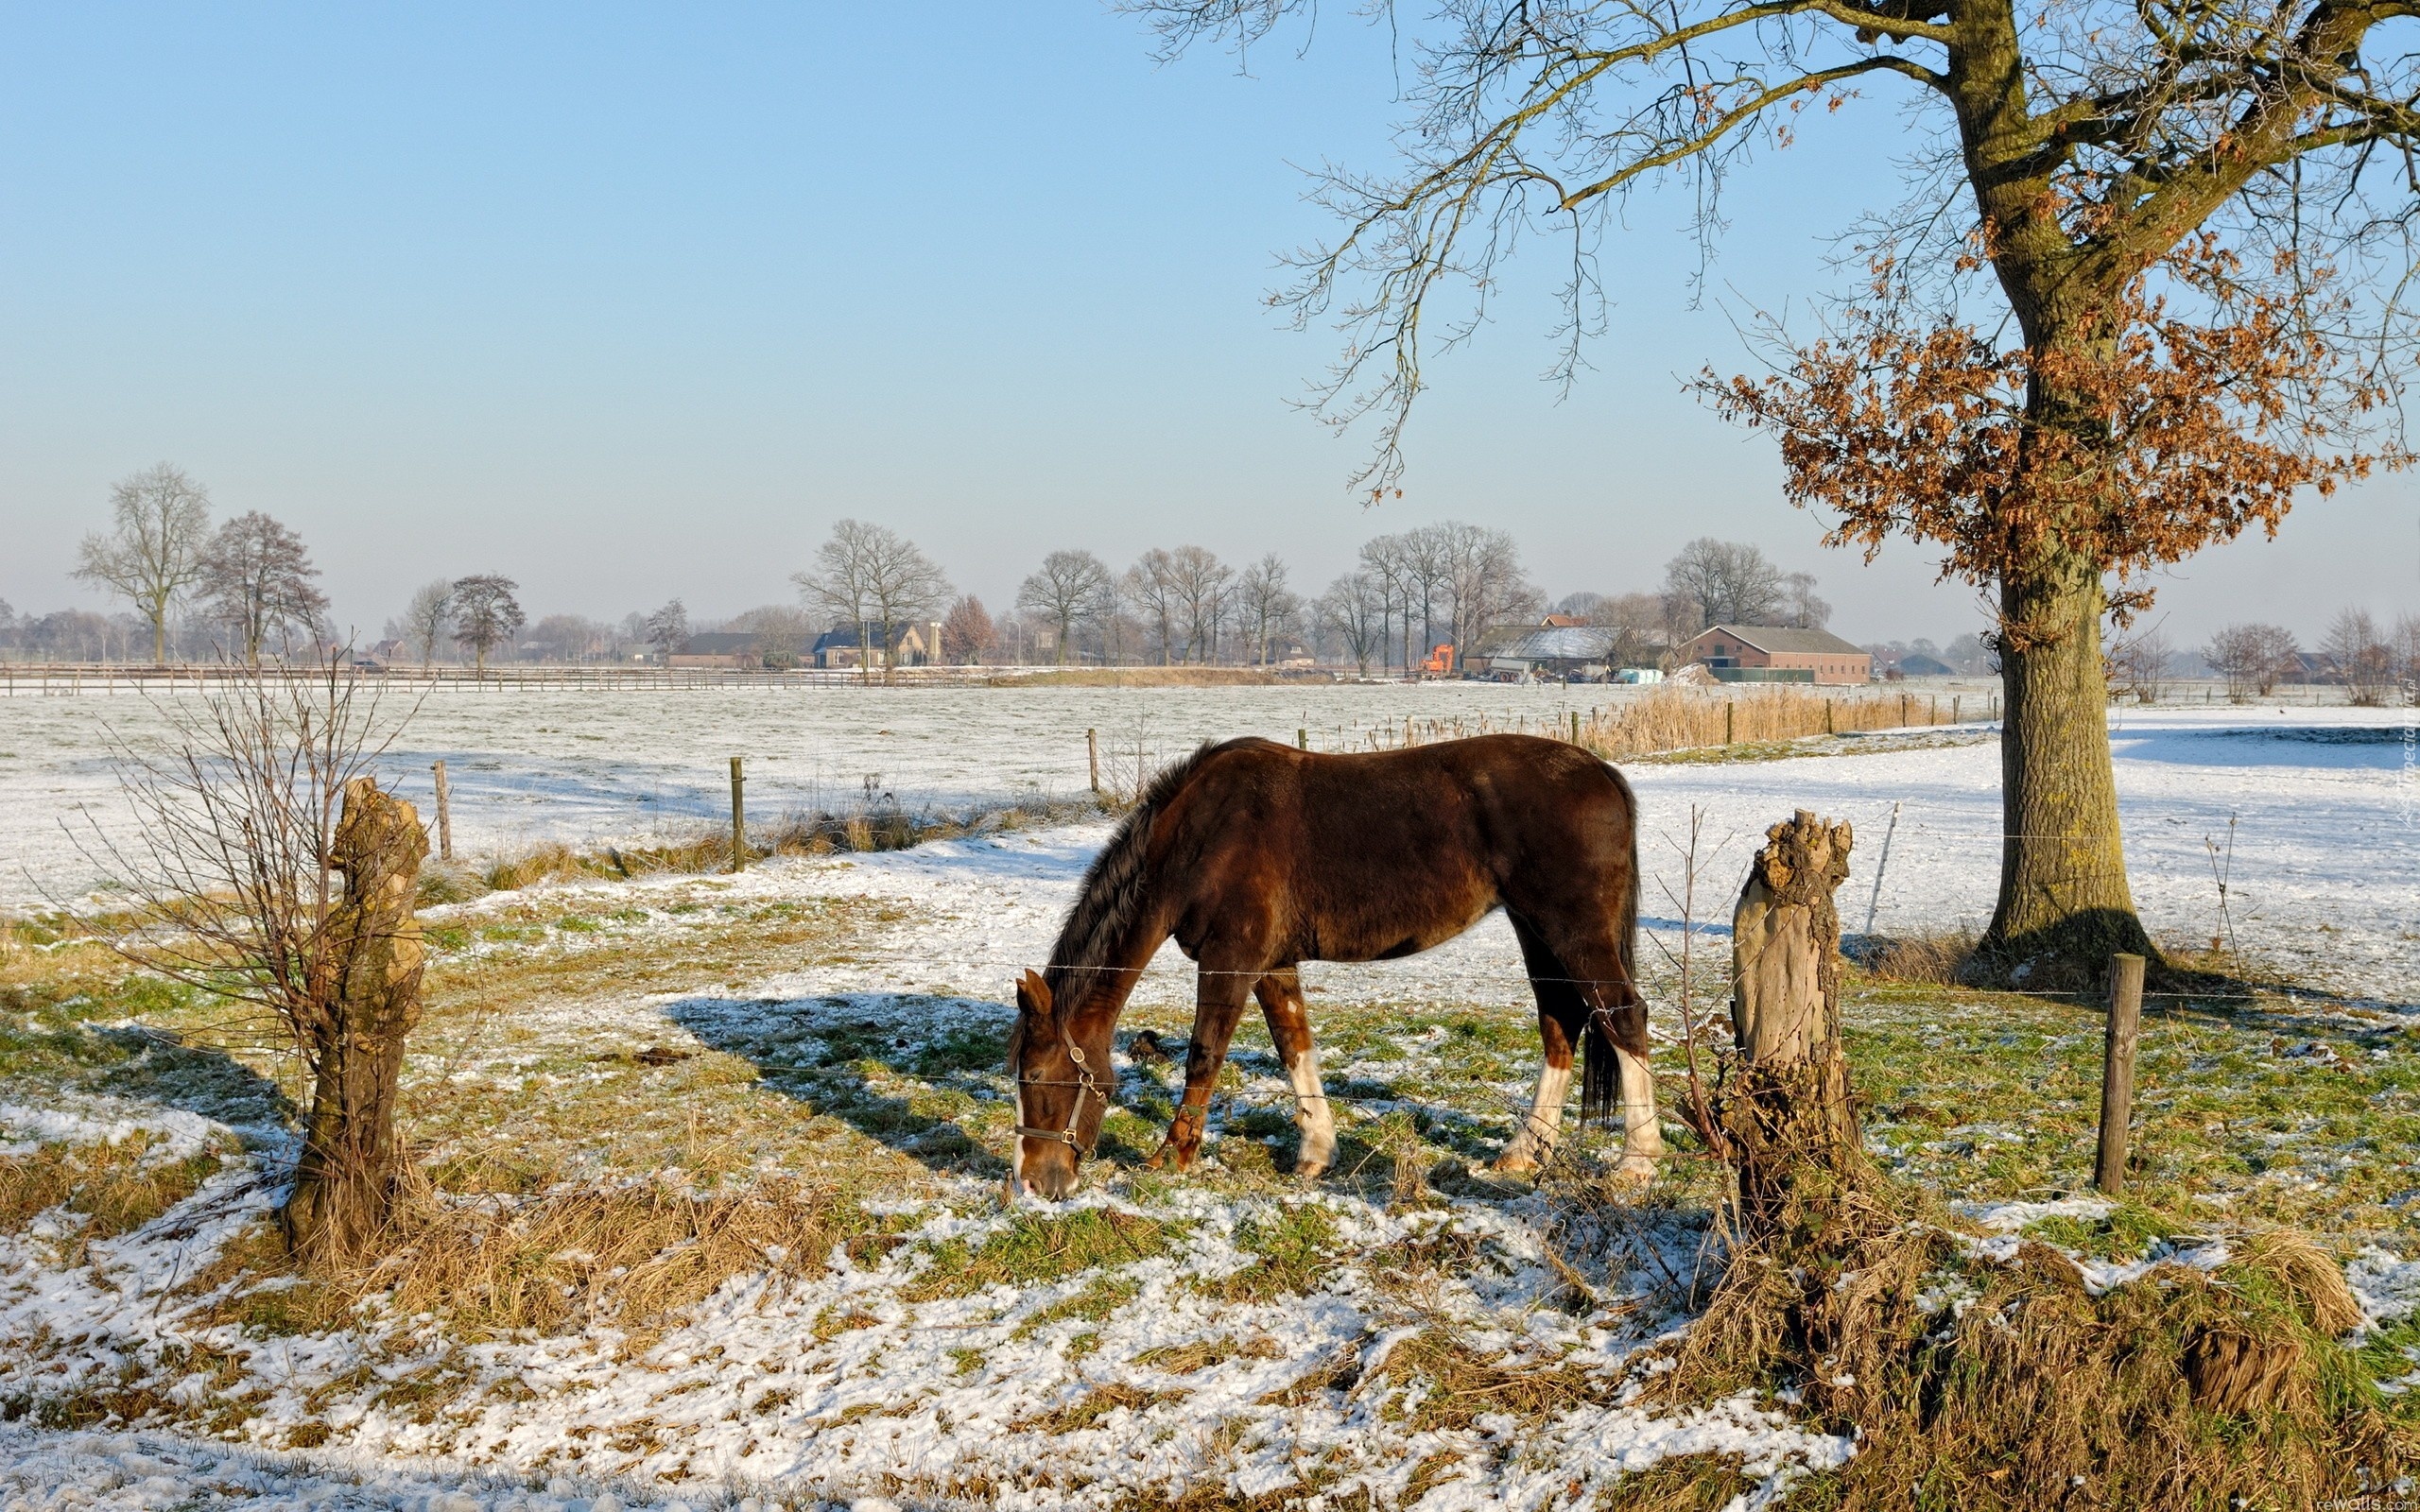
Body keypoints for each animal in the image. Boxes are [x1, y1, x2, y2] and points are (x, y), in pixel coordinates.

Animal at [1006, 735, 1665, 1204]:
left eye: (1035, 1077)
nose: (1033, 1182)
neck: (1199, 838)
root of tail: (1603, 773)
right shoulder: (1273, 965)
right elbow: (1293, 1046)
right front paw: (1316, 1152)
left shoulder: (1230, 961)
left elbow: (1204, 1055)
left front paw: (1173, 1156)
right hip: (1535, 930)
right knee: (1562, 1024)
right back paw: (1522, 1153)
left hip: (1572, 931)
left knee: (1624, 1017)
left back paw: (1636, 1163)